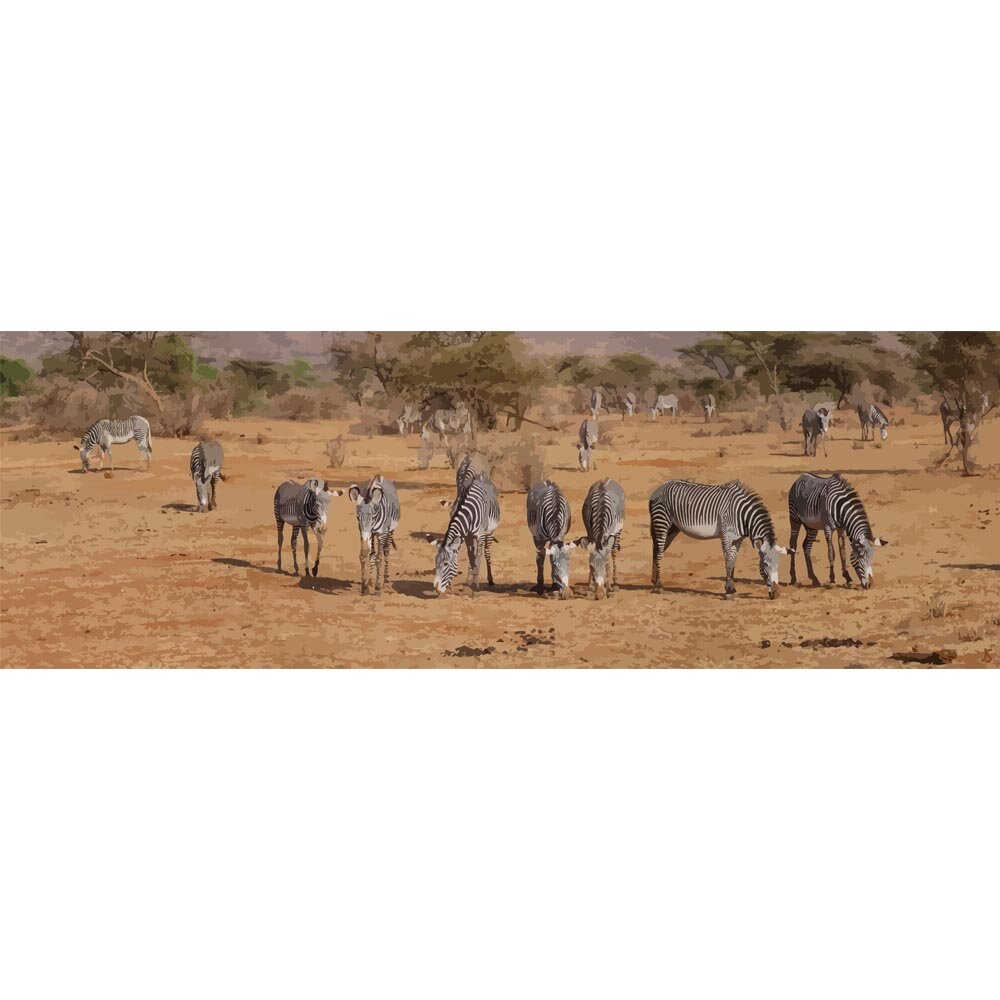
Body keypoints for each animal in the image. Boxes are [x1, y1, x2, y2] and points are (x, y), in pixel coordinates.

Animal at [649, 480, 791, 599]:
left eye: (779, 565)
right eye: (765, 564)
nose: (776, 594)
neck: (743, 516)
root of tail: (660, 487)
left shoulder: (737, 540)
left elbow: (733, 562)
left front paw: (732, 588)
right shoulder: (726, 536)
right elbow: (728, 561)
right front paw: (728, 590)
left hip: (673, 528)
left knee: (656, 550)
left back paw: (654, 581)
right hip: (662, 522)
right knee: (659, 552)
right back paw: (659, 586)